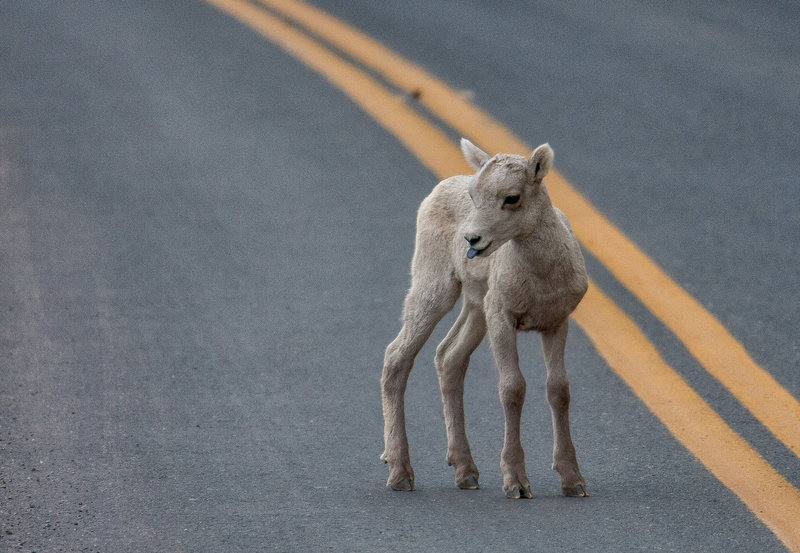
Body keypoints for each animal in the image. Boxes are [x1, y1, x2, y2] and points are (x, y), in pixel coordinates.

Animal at [382, 137, 588, 496]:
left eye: (512, 197)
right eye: (473, 196)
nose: (472, 239)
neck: (542, 277)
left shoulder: (556, 323)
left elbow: (559, 390)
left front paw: (573, 481)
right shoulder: (502, 318)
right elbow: (513, 388)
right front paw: (516, 483)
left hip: (476, 308)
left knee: (449, 358)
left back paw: (466, 472)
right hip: (437, 289)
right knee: (397, 356)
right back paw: (400, 473)